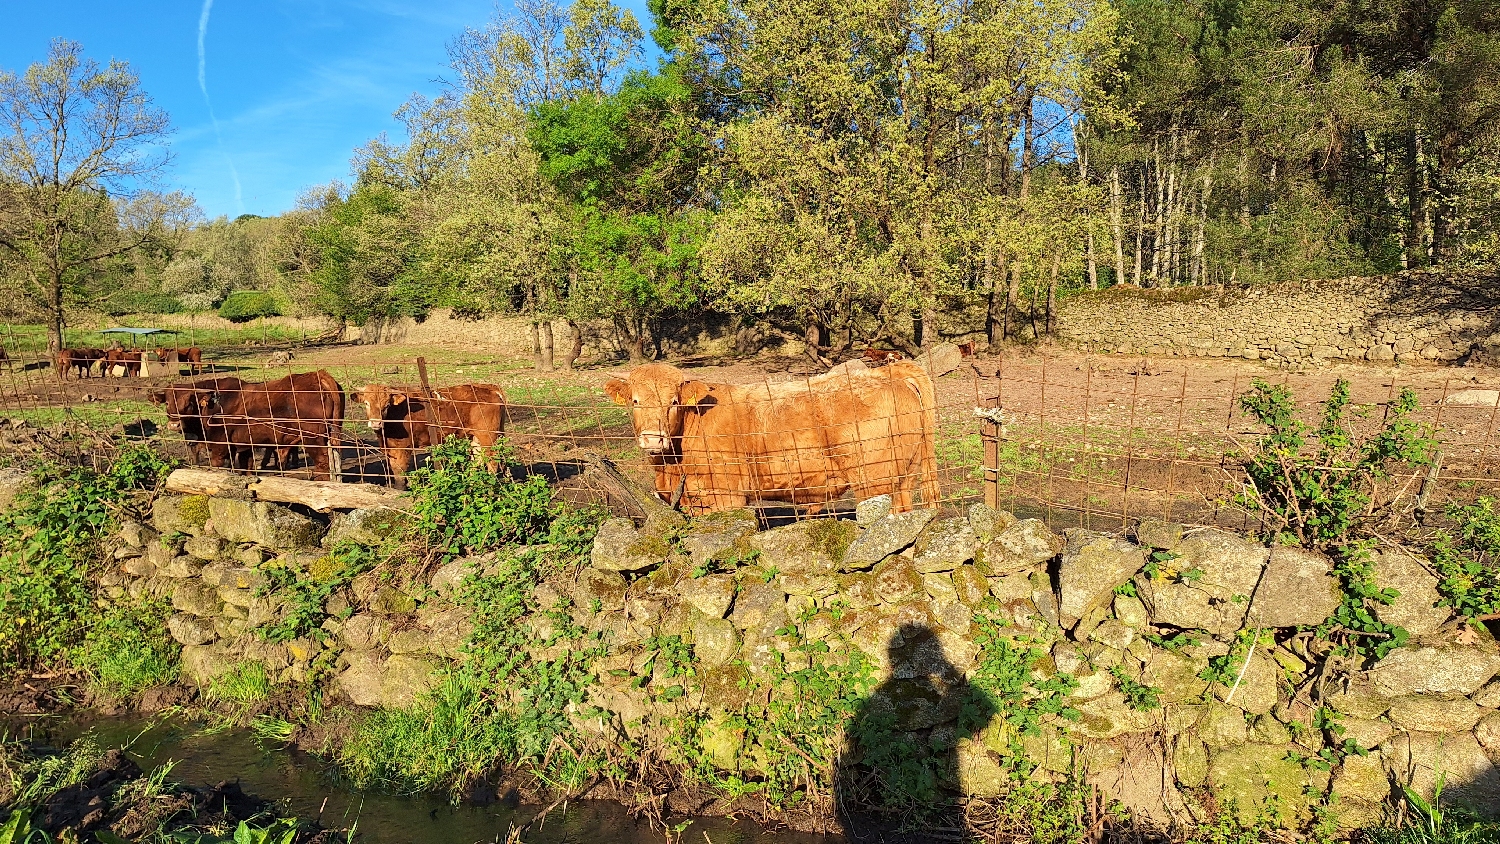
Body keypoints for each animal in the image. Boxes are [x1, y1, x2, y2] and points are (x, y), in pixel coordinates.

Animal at [357, 383, 510, 488]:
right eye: (367, 403)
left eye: (387, 405)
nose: (376, 423)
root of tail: (490, 388)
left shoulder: (402, 447)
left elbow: (400, 471)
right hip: (476, 437)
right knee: (478, 458)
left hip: (488, 436)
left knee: (492, 459)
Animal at [600, 361, 936, 515]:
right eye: (635, 401)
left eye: (673, 402)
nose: (652, 440)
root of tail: (885, 372)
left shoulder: (727, 496)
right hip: (904, 477)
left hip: (875, 481)